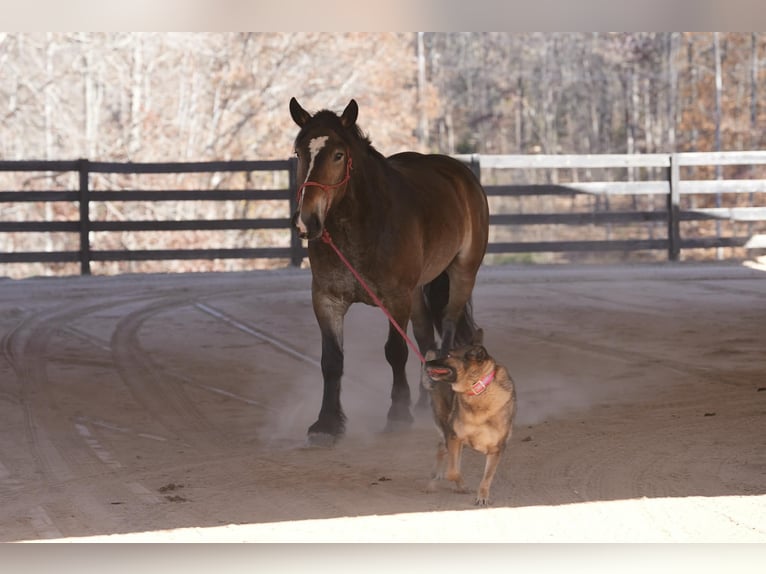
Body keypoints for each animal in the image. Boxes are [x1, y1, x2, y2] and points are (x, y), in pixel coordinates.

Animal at [289, 97, 489, 445]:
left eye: (338, 155)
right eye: (299, 153)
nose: (306, 221)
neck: (363, 225)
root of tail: (460, 174)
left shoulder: (396, 299)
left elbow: (395, 351)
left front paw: (398, 413)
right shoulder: (327, 299)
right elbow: (332, 360)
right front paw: (327, 424)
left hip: (462, 274)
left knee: (448, 330)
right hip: (418, 292)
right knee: (425, 338)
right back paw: (424, 401)